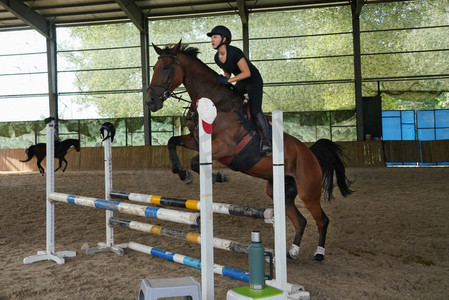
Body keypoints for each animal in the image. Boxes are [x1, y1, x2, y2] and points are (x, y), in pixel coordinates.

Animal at [145, 41, 352, 262]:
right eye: (154, 68)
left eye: (166, 67)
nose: (150, 101)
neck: (216, 104)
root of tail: (310, 153)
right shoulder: (196, 141)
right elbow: (172, 142)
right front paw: (182, 173)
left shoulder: (224, 147)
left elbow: (195, 161)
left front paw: (217, 177)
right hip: (280, 191)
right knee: (301, 220)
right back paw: (292, 252)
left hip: (308, 192)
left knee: (322, 220)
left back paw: (319, 254)